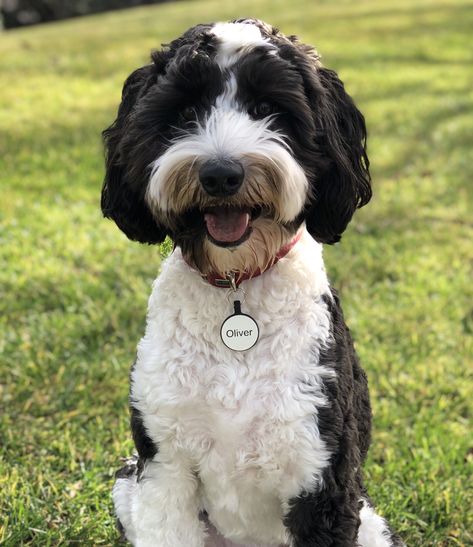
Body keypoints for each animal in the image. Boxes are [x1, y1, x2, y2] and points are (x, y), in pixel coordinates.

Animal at [99, 18, 402, 547]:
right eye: (186, 112)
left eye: (268, 110)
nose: (221, 173)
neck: (236, 284)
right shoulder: (164, 468)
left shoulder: (321, 479)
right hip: (127, 483)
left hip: (369, 523)